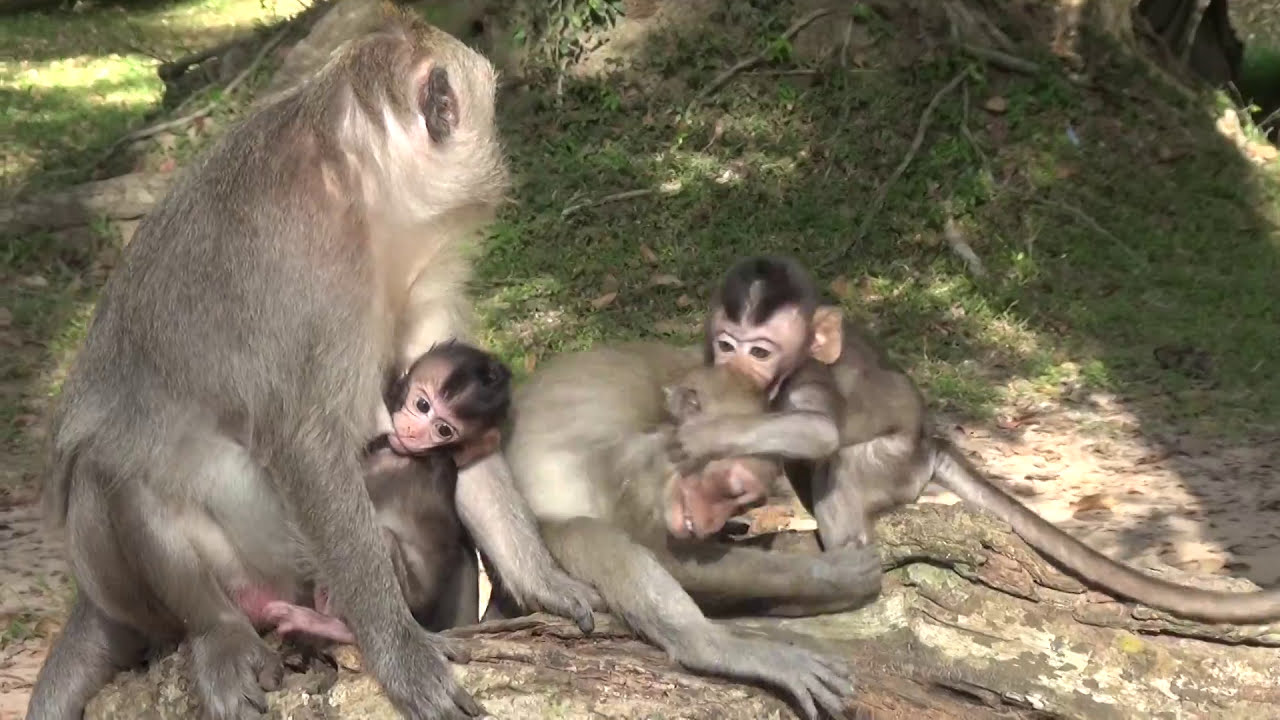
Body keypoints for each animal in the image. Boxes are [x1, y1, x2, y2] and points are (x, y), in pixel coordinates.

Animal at [496, 342, 882, 720]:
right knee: (590, 535)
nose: (710, 522)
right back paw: (712, 647)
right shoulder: (641, 458)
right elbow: (664, 554)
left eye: (739, 502)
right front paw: (831, 576)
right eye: (729, 490)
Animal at [673, 254, 1280, 625]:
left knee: (836, 471)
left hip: (894, 465)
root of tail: (930, 444)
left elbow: (817, 431)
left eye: (761, 350)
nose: (739, 368)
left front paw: (701, 433)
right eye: (727, 344)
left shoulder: (806, 380)